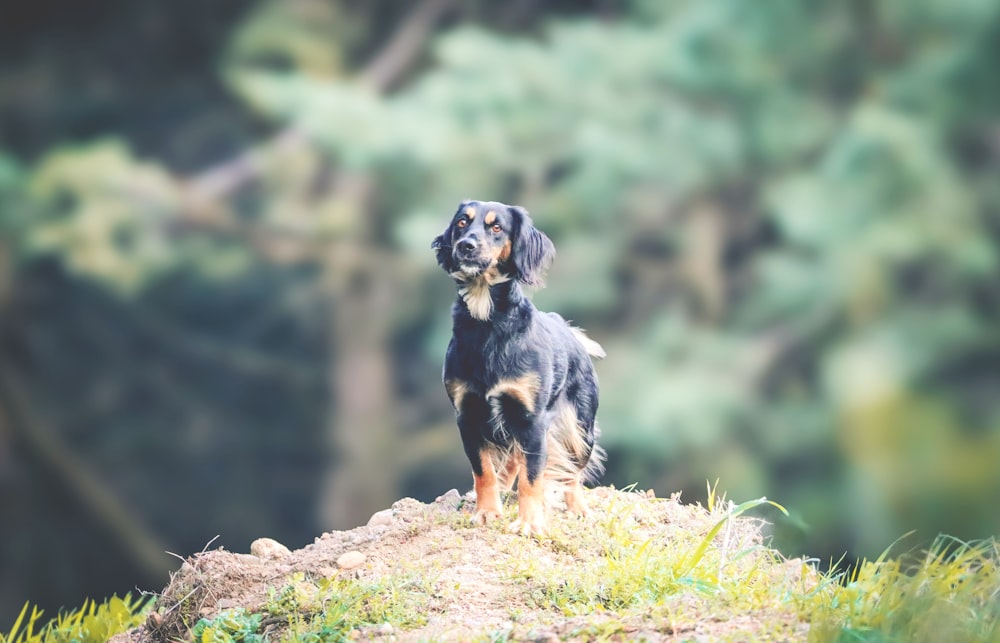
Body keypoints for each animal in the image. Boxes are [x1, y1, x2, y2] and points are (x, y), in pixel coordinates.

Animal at [428, 199, 600, 536]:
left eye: (497, 227)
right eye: (462, 222)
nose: (466, 245)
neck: (487, 322)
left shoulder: (532, 419)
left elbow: (532, 477)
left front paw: (530, 522)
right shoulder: (467, 416)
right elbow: (483, 471)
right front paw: (487, 512)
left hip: (579, 425)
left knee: (573, 470)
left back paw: (577, 507)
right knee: (509, 462)